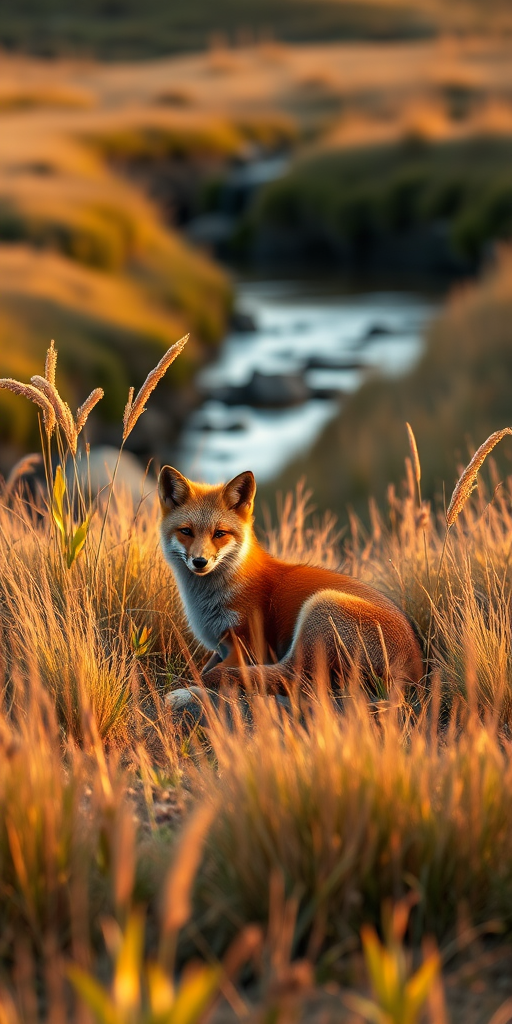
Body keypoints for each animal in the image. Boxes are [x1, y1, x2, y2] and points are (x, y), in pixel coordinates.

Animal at [158, 466, 424, 699]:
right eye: (186, 531)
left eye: (219, 534)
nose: (199, 562)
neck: (207, 603)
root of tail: (414, 668)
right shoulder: (221, 648)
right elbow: (208, 666)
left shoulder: (250, 646)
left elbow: (214, 670)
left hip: (319, 607)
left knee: (292, 678)